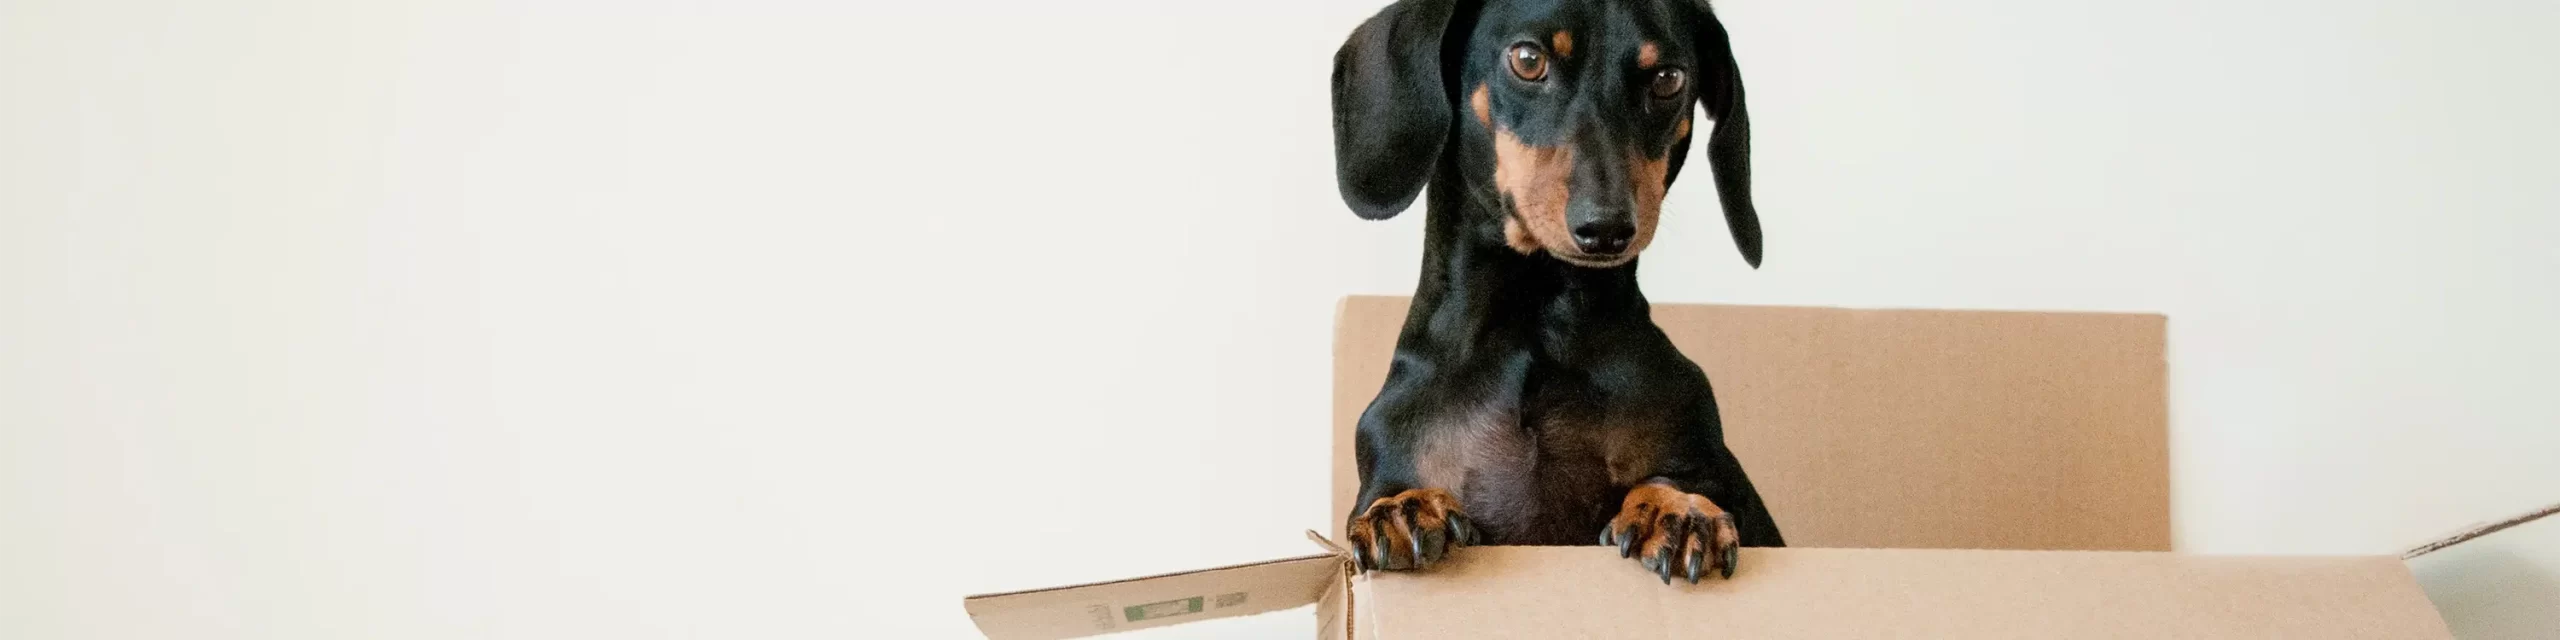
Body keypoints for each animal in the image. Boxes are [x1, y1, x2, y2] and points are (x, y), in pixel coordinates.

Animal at [1341, 0, 1781, 583]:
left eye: (1668, 78)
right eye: (1528, 60)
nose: (1607, 228)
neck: (1535, 324)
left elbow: (1681, 481)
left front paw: (1677, 509)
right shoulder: (1389, 448)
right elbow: (1389, 493)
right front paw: (1403, 507)